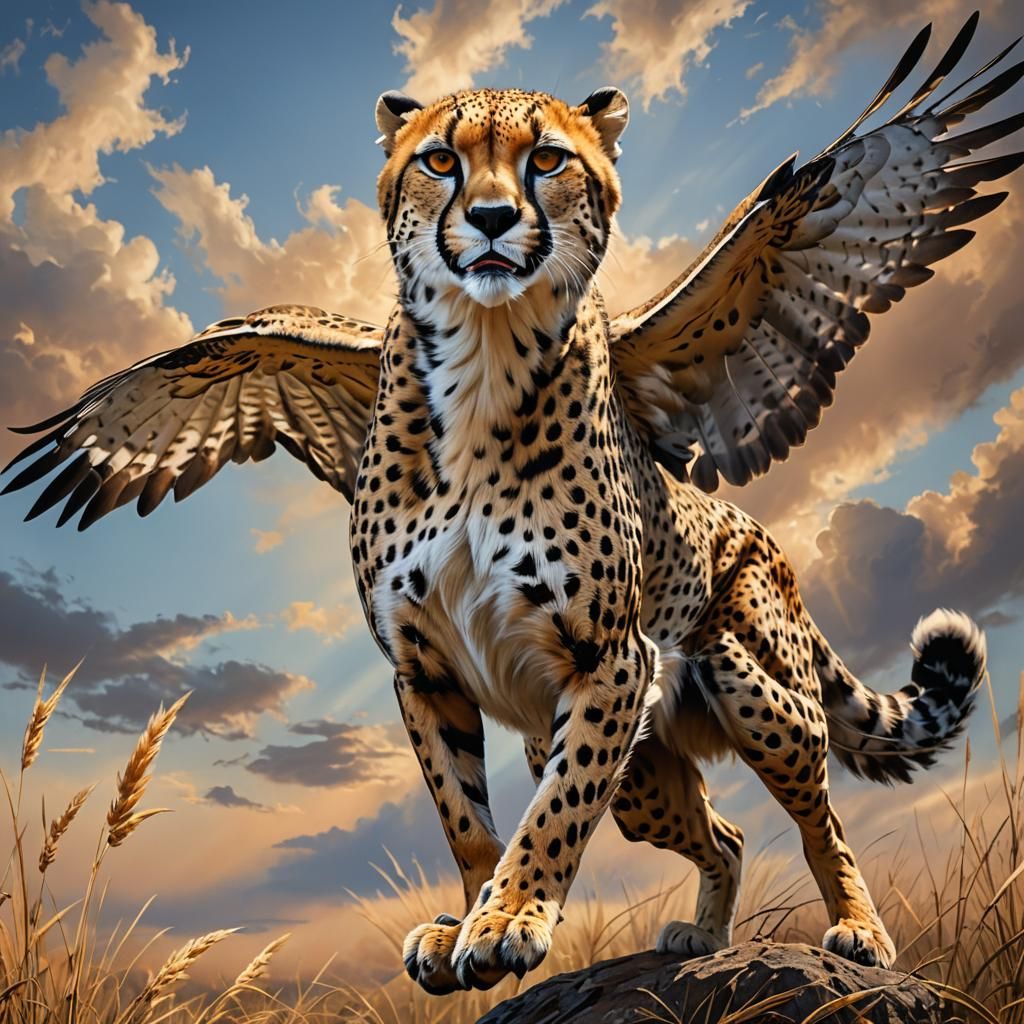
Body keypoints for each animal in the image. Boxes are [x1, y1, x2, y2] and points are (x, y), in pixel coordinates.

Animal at [4, 15, 1015, 996]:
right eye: (439, 160)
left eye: (549, 159)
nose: (491, 219)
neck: (483, 353)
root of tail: (761, 531)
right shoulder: (424, 668)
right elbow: (464, 816)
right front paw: (468, 920)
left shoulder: (611, 660)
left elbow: (557, 814)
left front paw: (508, 920)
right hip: (635, 766)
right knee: (720, 833)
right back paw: (702, 933)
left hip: (750, 685)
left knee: (820, 818)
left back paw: (858, 931)